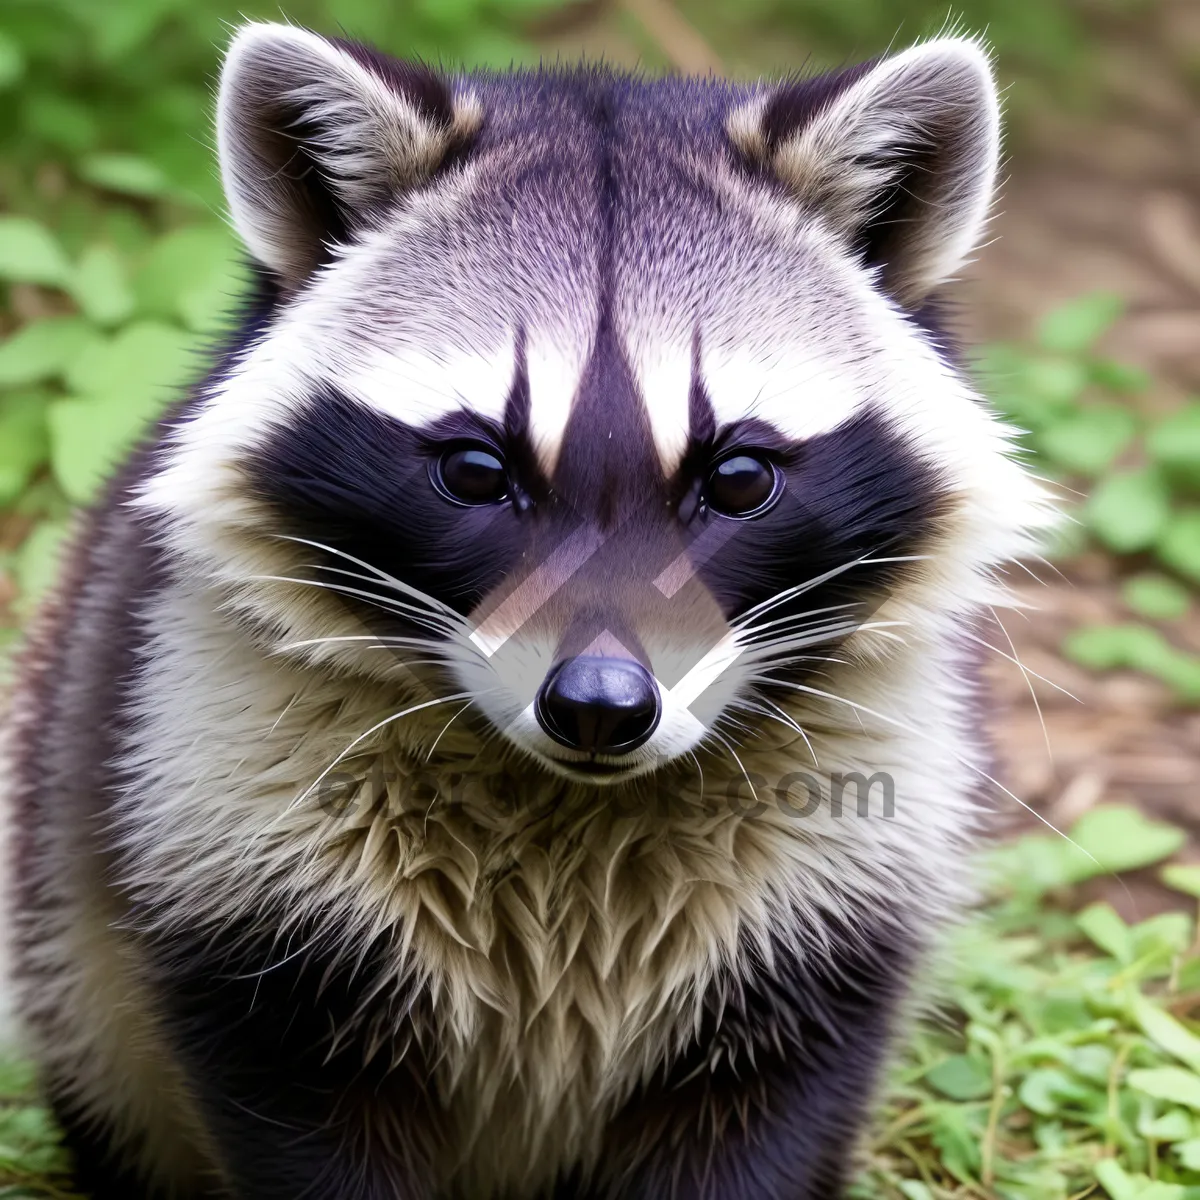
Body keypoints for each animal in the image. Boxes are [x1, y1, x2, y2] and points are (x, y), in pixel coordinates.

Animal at [0, 21, 1051, 1200]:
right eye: (475, 470)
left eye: (737, 477)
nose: (598, 705)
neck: (569, 801)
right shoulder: (227, 809)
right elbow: (303, 1110)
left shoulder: (842, 870)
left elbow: (765, 1115)